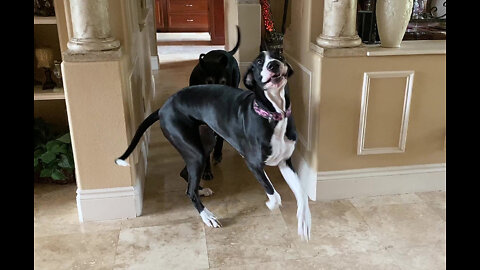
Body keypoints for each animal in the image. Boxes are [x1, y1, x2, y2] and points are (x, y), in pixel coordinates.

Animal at [115, 50, 312, 240]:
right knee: (190, 191)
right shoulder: (253, 163)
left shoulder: (285, 162)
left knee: (186, 176)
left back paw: (201, 190)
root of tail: (163, 108)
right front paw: (271, 204)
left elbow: (302, 193)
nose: (273, 65)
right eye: (258, 62)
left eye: (279, 56)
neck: (273, 114)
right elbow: (274, 193)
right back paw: (207, 216)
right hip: (195, 153)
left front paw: (304, 221)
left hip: (203, 145)